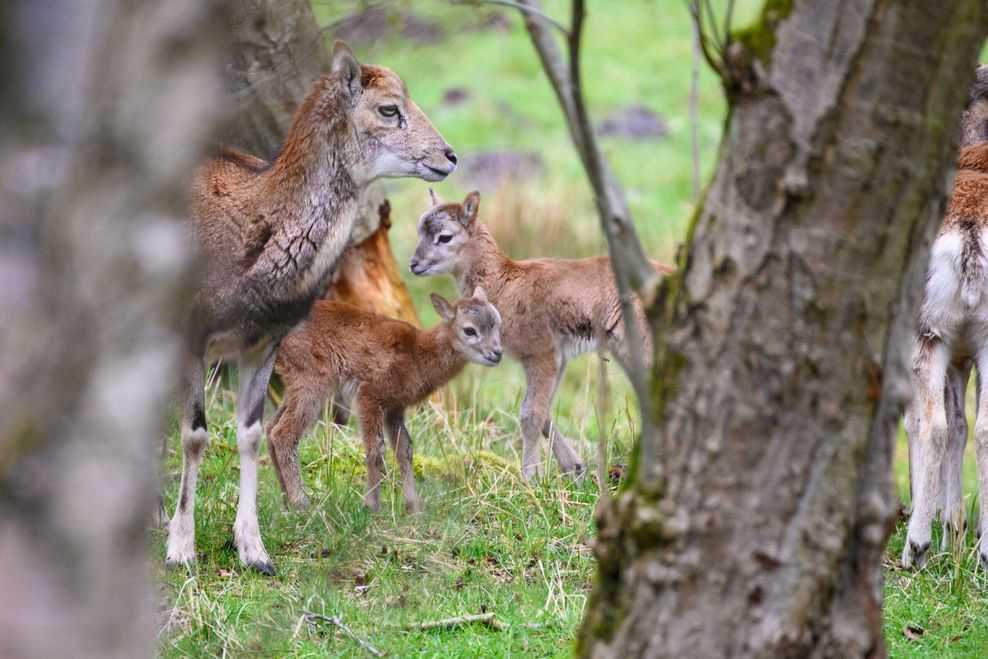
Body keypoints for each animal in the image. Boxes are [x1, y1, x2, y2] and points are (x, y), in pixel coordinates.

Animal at [168, 42, 458, 576]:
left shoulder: (260, 345)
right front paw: (180, 550)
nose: (448, 156)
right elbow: (195, 435)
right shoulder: (191, 338)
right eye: (389, 108)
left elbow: (250, 434)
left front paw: (255, 552)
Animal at [268, 292, 502, 512]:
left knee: (271, 428)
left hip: (295, 384)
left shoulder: (395, 407)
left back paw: (286, 502)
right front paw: (371, 505)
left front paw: (413, 507)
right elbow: (377, 450)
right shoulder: (369, 394)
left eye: (498, 324)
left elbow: (405, 450)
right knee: (283, 434)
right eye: (469, 330)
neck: (417, 354)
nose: (497, 353)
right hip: (311, 380)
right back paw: (301, 504)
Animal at [408, 189, 672, 480]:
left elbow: (530, 414)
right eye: (420, 230)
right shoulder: (558, 358)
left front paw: (529, 478)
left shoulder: (541, 354)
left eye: (445, 237)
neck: (505, 284)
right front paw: (574, 467)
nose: (414, 264)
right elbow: (544, 412)